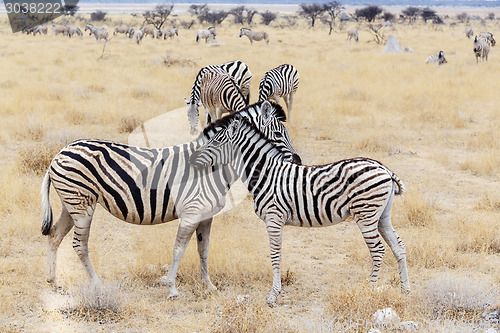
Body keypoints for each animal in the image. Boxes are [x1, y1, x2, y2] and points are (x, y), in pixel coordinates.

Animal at [41, 101, 298, 298]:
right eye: (278, 133)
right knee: (79, 245)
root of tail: (59, 153)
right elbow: (178, 250)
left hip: (70, 205)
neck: (213, 166)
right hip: (82, 205)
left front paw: (209, 286)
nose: (296, 160)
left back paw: (53, 281)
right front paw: (172, 289)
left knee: (54, 236)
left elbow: (203, 250)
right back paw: (97, 285)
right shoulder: (192, 213)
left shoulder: (206, 216)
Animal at [189, 115, 408, 304]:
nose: (192, 159)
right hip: (382, 216)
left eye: (216, 142)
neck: (265, 174)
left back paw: (369, 289)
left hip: (366, 214)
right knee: (398, 246)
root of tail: (384, 168)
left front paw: (273, 295)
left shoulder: (274, 218)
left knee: (378, 250)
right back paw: (405, 290)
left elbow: (275, 255)